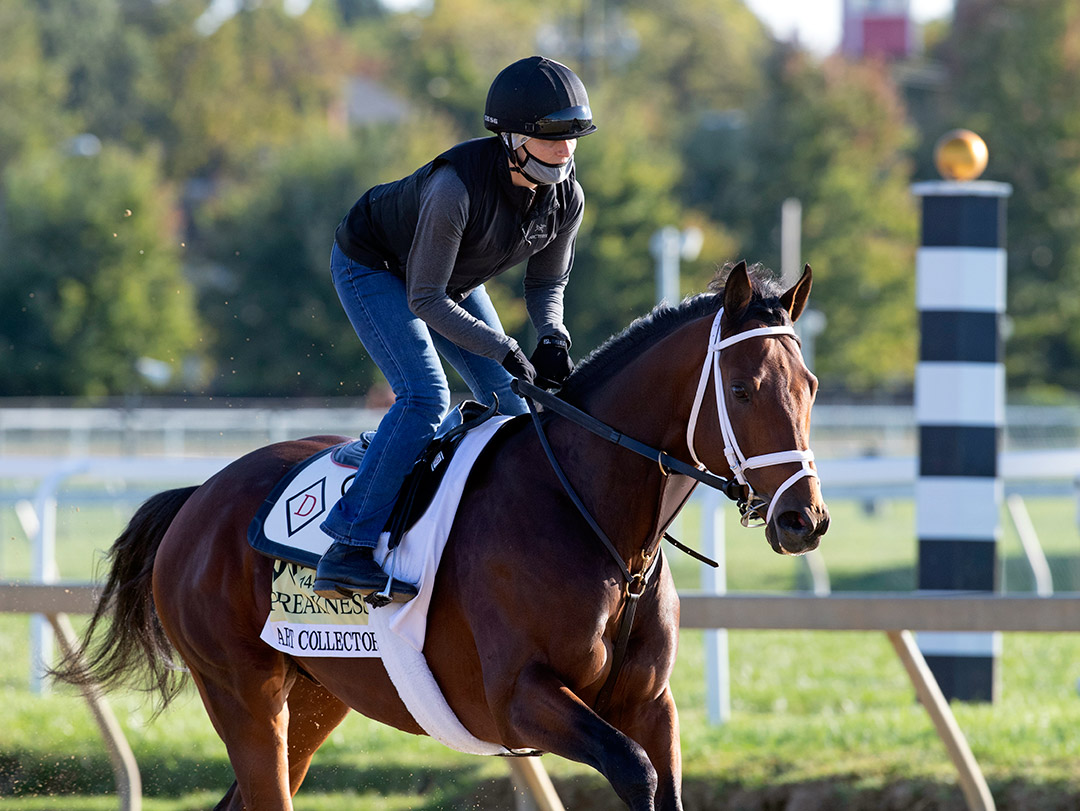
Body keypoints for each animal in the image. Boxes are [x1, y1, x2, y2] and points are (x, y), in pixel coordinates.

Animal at [52, 261, 825, 811]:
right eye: (744, 388)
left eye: (810, 385)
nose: (804, 519)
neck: (596, 520)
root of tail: (197, 498)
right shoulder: (519, 699)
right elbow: (634, 772)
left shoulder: (650, 703)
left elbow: (663, 782)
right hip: (241, 692)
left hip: (316, 695)